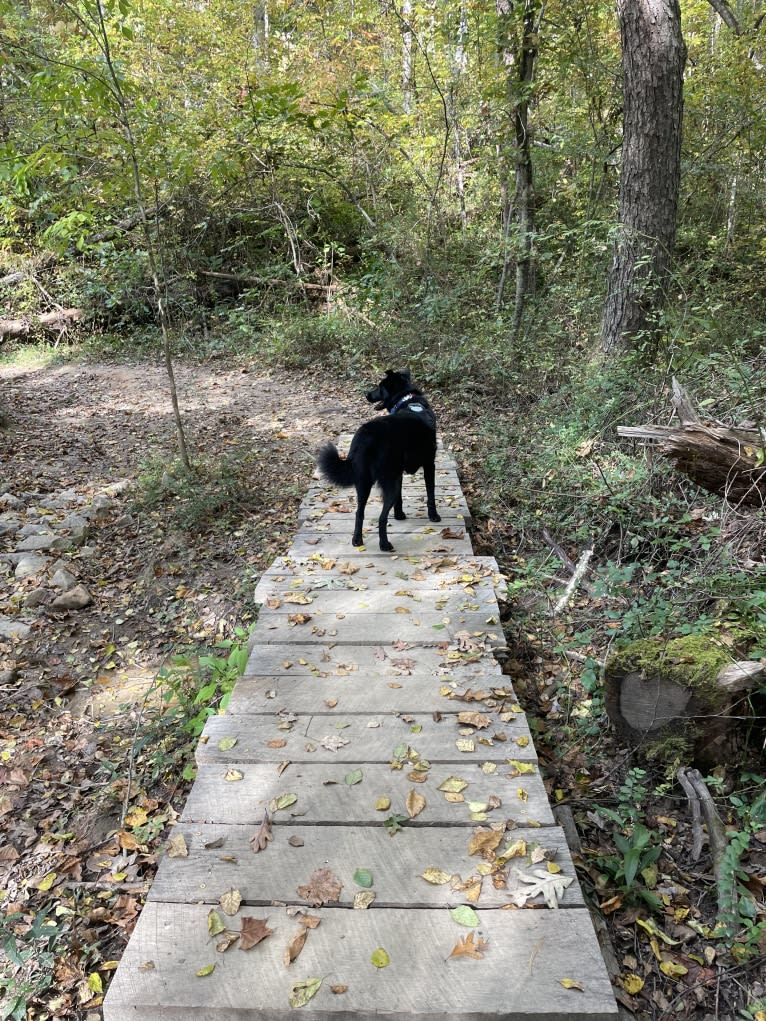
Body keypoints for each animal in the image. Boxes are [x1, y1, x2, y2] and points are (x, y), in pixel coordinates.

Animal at [316, 369, 441, 551]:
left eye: (380, 387)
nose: (367, 394)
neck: (407, 400)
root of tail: (366, 435)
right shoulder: (429, 464)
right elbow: (430, 493)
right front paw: (433, 515)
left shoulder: (399, 473)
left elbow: (400, 498)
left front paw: (399, 514)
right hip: (387, 481)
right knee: (382, 517)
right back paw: (385, 544)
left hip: (363, 482)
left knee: (359, 512)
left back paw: (357, 540)